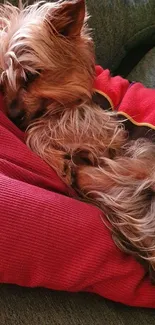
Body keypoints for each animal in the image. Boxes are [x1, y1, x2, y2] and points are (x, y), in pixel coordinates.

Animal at [0, 0, 155, 278]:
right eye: (2, 84)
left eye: (30, 75)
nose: (14, 117)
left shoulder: (104, 123)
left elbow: (40, 130)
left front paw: (56, 159)